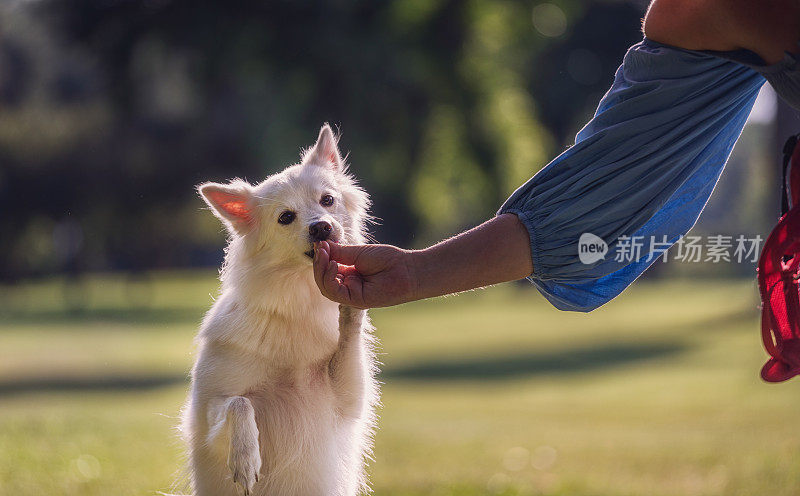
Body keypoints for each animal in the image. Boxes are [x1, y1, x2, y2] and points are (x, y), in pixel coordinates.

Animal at [180, 125, 378, 496]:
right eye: (286, 217)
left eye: (327, 200)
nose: (321, 227)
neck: (297, 301)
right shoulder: (209, 417)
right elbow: (239, 403)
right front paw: (245, 460)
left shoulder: (346, 399)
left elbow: (349, 338)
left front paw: (350, 304)